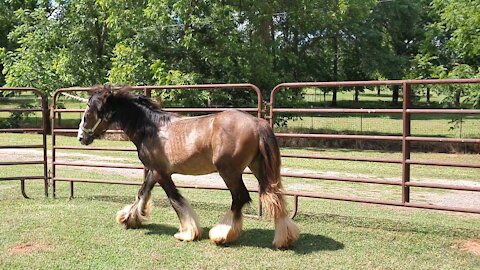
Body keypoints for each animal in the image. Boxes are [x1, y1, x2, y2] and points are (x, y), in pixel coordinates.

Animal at [76, 84, 298, 249]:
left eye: (89, 112)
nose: (81, 137)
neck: (152, 129)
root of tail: (258, 123)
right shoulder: (155, 171)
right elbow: (142, 193)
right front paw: (129, 218)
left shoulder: (161, 173)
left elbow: (175, 200)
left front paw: (187, 233)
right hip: (258, 167)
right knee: (275, 197)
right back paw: (285, 239)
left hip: (230, 172)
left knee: (240, 197)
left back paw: (222, 234)